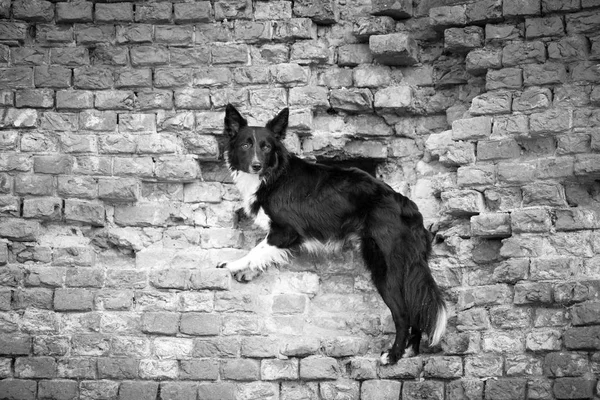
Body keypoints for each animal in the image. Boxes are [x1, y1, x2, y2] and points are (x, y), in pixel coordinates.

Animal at [216, 104, 446, 364]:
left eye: (266, 147)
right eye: (245, 145)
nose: (256, 165)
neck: (273, 174)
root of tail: (408, 207)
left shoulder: (286, 231)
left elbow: (256, 249)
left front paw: (233, 265)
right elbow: (262, 254)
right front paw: (247, 271)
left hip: (385, 270)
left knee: (403, 314)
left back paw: (393, 355)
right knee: (415, 308)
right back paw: (410, 351)